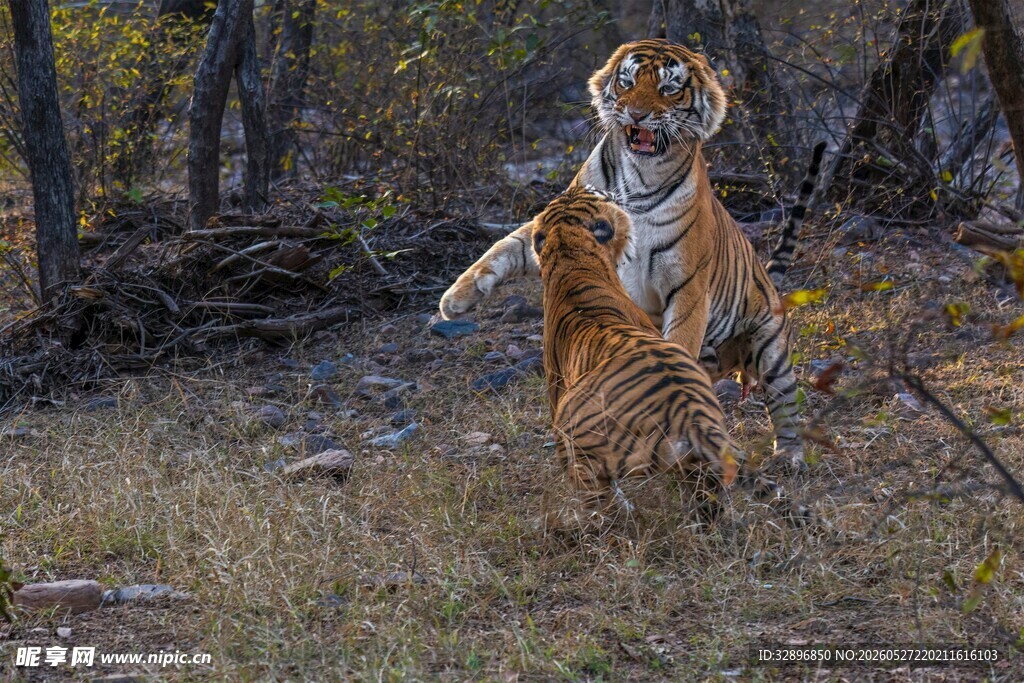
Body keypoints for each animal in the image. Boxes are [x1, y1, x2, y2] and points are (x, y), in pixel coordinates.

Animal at [440, 38, 825, 472]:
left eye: (669, 88)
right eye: (626, 82)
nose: (636, 114)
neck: (639, 178)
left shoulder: (687, 284)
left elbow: (681, 339)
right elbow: (510, 245)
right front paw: (455, 299)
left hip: (770, 345)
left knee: (785, 403)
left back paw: (789, 457)